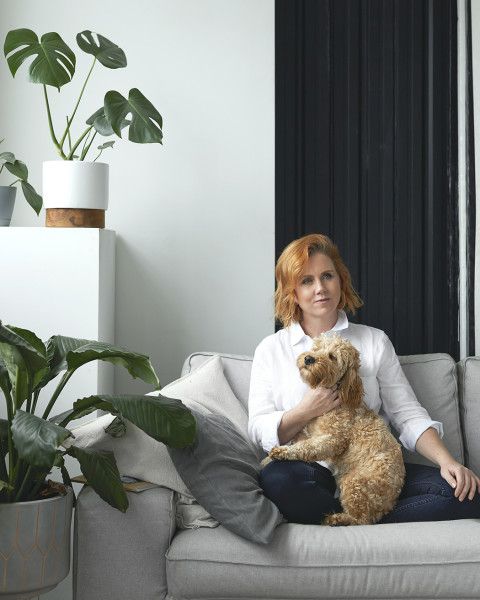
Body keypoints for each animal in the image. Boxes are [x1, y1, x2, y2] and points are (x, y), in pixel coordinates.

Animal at [265, 333, 405, 526]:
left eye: (332, 357)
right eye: (317, 348)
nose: (309, 358)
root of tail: (390, 503)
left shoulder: (332, 439)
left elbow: (306, 447)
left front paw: (281, 451)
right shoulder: (308, 432)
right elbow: (300, 440)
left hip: (354, 483)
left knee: (362, 520)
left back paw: (336, 519)